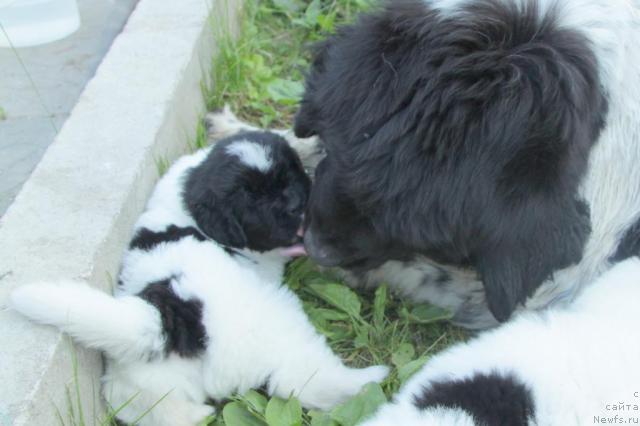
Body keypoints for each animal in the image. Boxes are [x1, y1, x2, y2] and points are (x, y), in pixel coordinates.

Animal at [10, 112, 388, 426]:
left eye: (290, 176)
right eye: (255, 202)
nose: (298, 205)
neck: (189, 200)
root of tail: (168, 316)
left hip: (141, 379)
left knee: (149, 407)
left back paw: (194, 415)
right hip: (278, 326)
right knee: (301, 378)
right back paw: (368, 380)